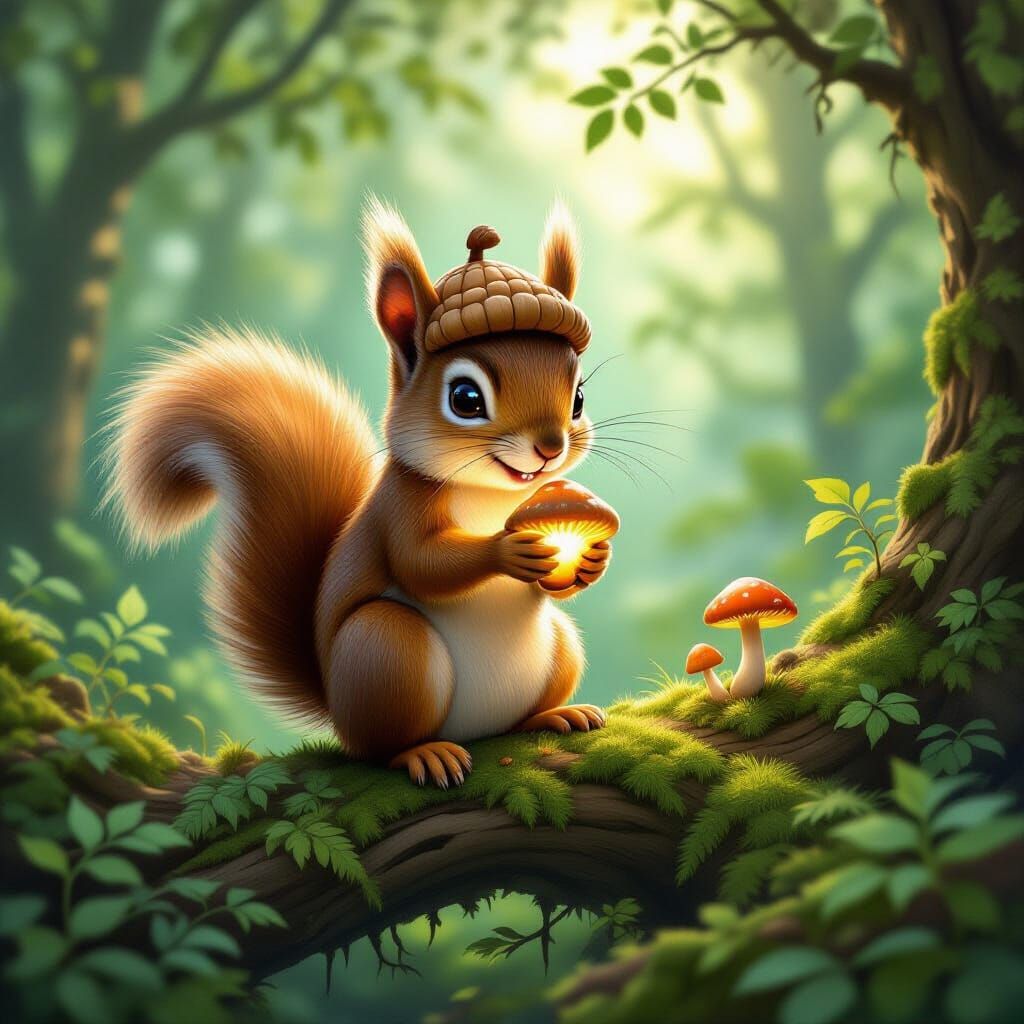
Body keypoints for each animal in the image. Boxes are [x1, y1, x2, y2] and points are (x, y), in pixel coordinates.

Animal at [107, 198, 612, 787]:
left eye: (578, 398)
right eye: (465, 398)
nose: (549, 448)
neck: (493, 495)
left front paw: (591, 560)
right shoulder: (401, 506)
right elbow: (422, 564)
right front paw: (507, 549)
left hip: (558, 646)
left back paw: (555, 714)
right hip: (387, 651)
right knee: (381, 746)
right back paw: (424, 753)